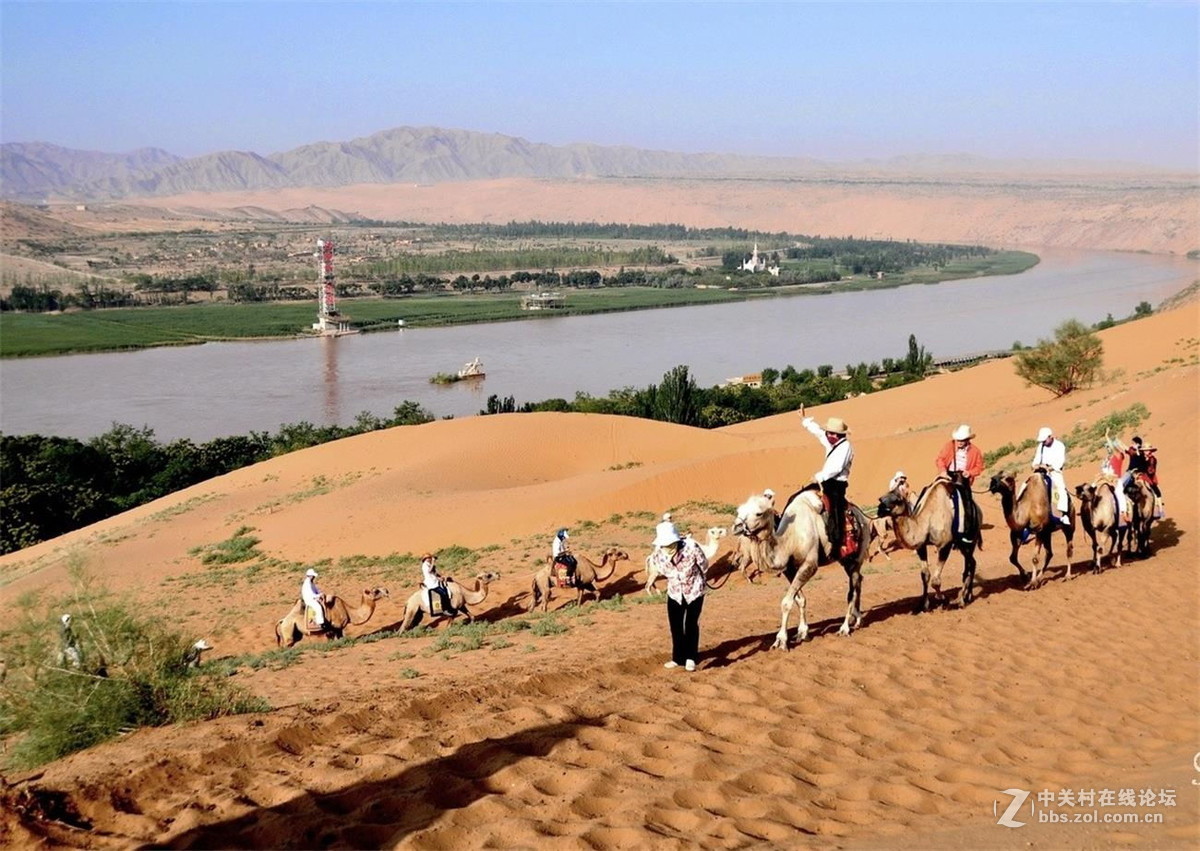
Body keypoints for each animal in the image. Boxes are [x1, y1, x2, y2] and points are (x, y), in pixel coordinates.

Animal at [729, 484, 873, 652]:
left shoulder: (809, 565)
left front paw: (781, 641)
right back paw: (858, 619)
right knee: (859, 580)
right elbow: (800, 600)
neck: (791, 538)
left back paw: (844, 628)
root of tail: (862, 516)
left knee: (852, 589)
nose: (736, 527)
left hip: (857, 555)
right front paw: (803, 633)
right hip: (846, 560)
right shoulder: (790, 569)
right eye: (739, 510)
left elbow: (786, 602)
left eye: (759, 513)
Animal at [878, 475, 979, 607]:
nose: (879, 510)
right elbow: (925, 575)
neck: (928, 520)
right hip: (962, 545)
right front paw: (925, 604)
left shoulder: (945, 544)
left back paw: (963, 599)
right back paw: (968, 595)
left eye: (897, 500)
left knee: (969, 565)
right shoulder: (921, 546)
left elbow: (935, 581)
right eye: (881, 498)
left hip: (970, 540)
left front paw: (941, 598)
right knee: (972, 563)